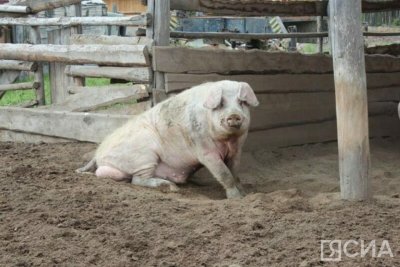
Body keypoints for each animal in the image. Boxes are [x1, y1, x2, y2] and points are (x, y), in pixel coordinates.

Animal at [77, 80, 260, 200]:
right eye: (220, 104)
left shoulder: (237, 150)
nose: (234, 115)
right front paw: (236, 199)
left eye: (242, 102)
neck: (228, 141)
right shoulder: (204, 151)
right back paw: (171, 188)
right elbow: (224, 173)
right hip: (145, 155)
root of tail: (97, 154)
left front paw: (246, 194)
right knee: (138, 180)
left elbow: (234, 172)